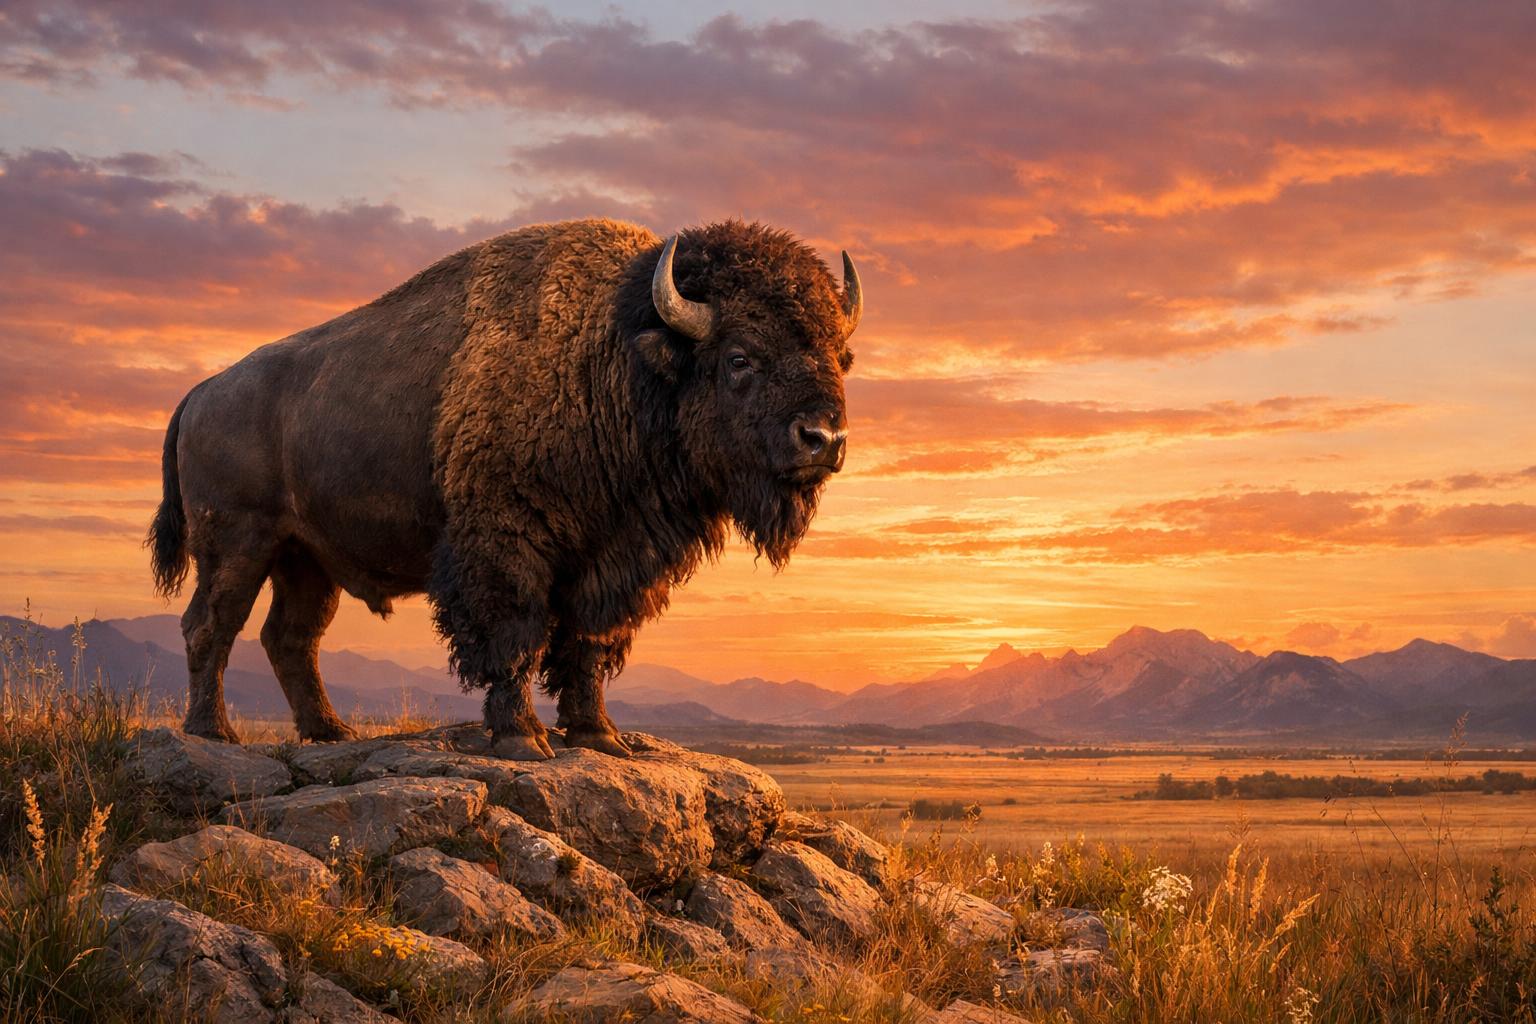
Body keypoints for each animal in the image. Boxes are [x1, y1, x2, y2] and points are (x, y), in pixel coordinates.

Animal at [148, 219, 861, 759]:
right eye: (740, 358)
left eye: (840, 357)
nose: (823, 438)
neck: (613, 357)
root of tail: (201, 393)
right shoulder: (506, 542)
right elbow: (516, 632)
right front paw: (523, 738)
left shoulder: (617, 560)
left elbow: (587, 643)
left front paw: (599, 736)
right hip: (239, 544)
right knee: (210, 624)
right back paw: (213, 732)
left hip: (307, 560)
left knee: (290, 638)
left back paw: (330, 731)